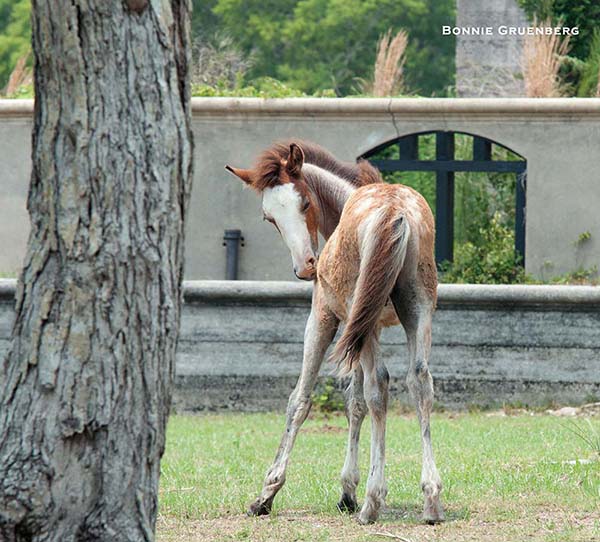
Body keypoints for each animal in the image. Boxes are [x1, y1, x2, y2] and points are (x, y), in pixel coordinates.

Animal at [225, 141, 440, 528]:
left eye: (305, 204)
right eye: (269, 217)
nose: (305, 267)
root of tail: (394, 210)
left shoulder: (323, 317)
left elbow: (300, 399)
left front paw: (266, 493)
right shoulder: (366, 328)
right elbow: (354, 404)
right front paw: (347, 491)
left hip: (359, 312)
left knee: (380, 385)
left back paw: (373, 501)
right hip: (416, 310)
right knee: (419, 383)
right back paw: (430, 499)